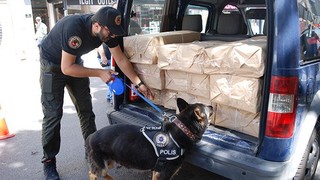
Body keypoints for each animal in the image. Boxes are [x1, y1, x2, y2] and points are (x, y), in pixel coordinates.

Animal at [86, 98, 214, 180]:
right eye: (207, 108)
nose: (212, 106)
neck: (183, 129)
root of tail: (91, 136)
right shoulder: (164, 175)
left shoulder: (156, 172)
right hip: (102, 165)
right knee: (93, 174)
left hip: (111, 162)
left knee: (95, 172)